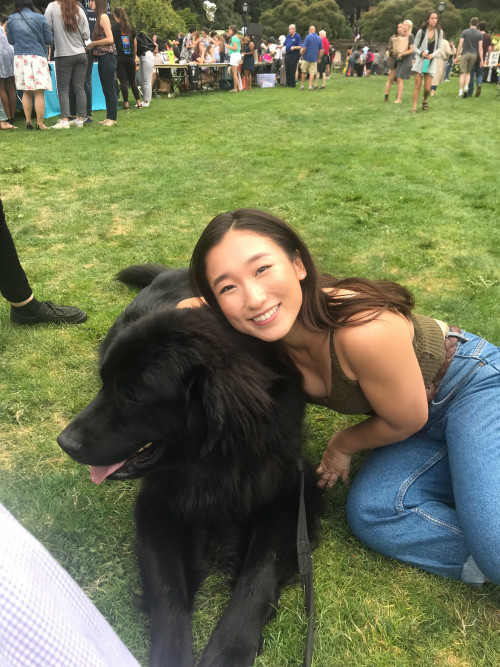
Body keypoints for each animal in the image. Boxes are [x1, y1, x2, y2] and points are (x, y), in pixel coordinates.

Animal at [56, 266, 322, 667]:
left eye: (133, 396)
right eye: (104, 384)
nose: (65, 442)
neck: (212, 461)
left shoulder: (289, 492)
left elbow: (258, 574)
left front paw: (229, 649)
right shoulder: (156, 506)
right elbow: (166, 590)